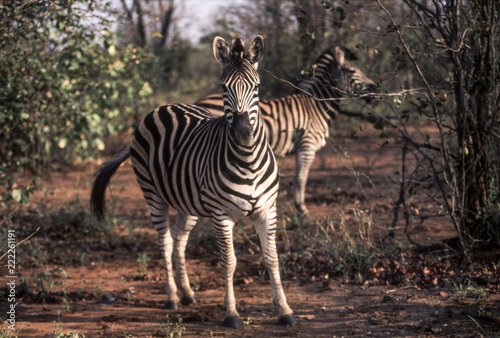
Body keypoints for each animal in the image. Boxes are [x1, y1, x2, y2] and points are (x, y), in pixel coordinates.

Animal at [90, 35, 296, 328]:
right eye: (223, 87)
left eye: (257, 86)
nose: (243, 132)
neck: (248, 161)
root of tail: (164, 106)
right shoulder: (221, 215)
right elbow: (229, 262)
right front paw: (231, 314)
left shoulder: (268, 209)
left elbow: (272, 259)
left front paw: (285, 310)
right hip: (153, 195)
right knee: (165, 242)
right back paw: (172, 297)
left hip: (187, 200)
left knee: (179, 239)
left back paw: (187, 293)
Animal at [197, 46, 376, 217]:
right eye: (351, 71)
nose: (375, 89)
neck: (315, 107)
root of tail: (200, 101)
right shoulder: (307, 145)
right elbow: (302, 177)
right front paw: (302, 209)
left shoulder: (300, 148)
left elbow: (298, 176)